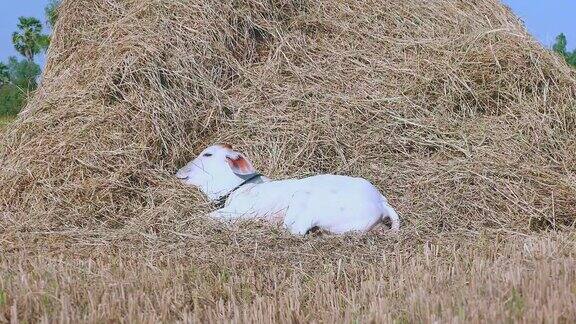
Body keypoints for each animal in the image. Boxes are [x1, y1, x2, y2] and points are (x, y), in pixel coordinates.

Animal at [176, 146, 400, 234]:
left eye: (208, 154)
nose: (179, 171)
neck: (239, 188)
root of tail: (382, 203)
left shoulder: (238, 211)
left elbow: (207, 217)